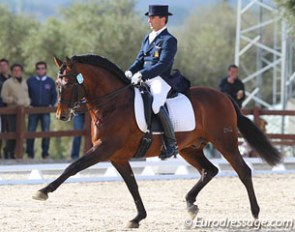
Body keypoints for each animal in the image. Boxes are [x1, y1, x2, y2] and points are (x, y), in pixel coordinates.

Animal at [32, 54, 282, 228]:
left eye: (69, 84)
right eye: (57, 84)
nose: (61, 116)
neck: (112, 103)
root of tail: (225, 97)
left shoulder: (104, 149)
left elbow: (73, 167)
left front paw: (43, 191)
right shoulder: (117, 157)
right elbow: (132, 185)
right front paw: (137, 217)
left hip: (225, 142)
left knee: (243, 171)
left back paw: (255, 215)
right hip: (190, 148)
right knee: (209, 170)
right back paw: (190, 204)